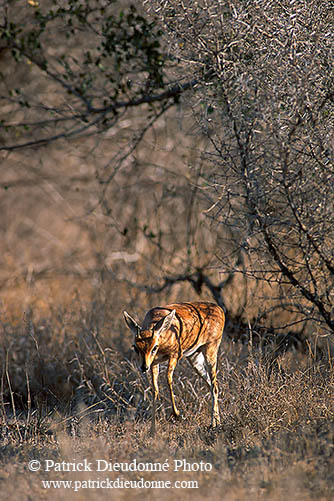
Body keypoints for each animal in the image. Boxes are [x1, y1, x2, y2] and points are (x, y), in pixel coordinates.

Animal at [122, 300, 224, 434]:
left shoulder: (175, 355)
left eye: (154, 347)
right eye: (135, 347)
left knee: (214, 384)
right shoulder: (154, 363)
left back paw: (214, 424)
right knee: (210, 384)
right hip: (194, 357)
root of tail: (219, 309)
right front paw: (152, 430)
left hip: (210, 350)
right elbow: (155, 389)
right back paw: (216, 422)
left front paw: (177, 414)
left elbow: (168, 378)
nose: (144, 367)